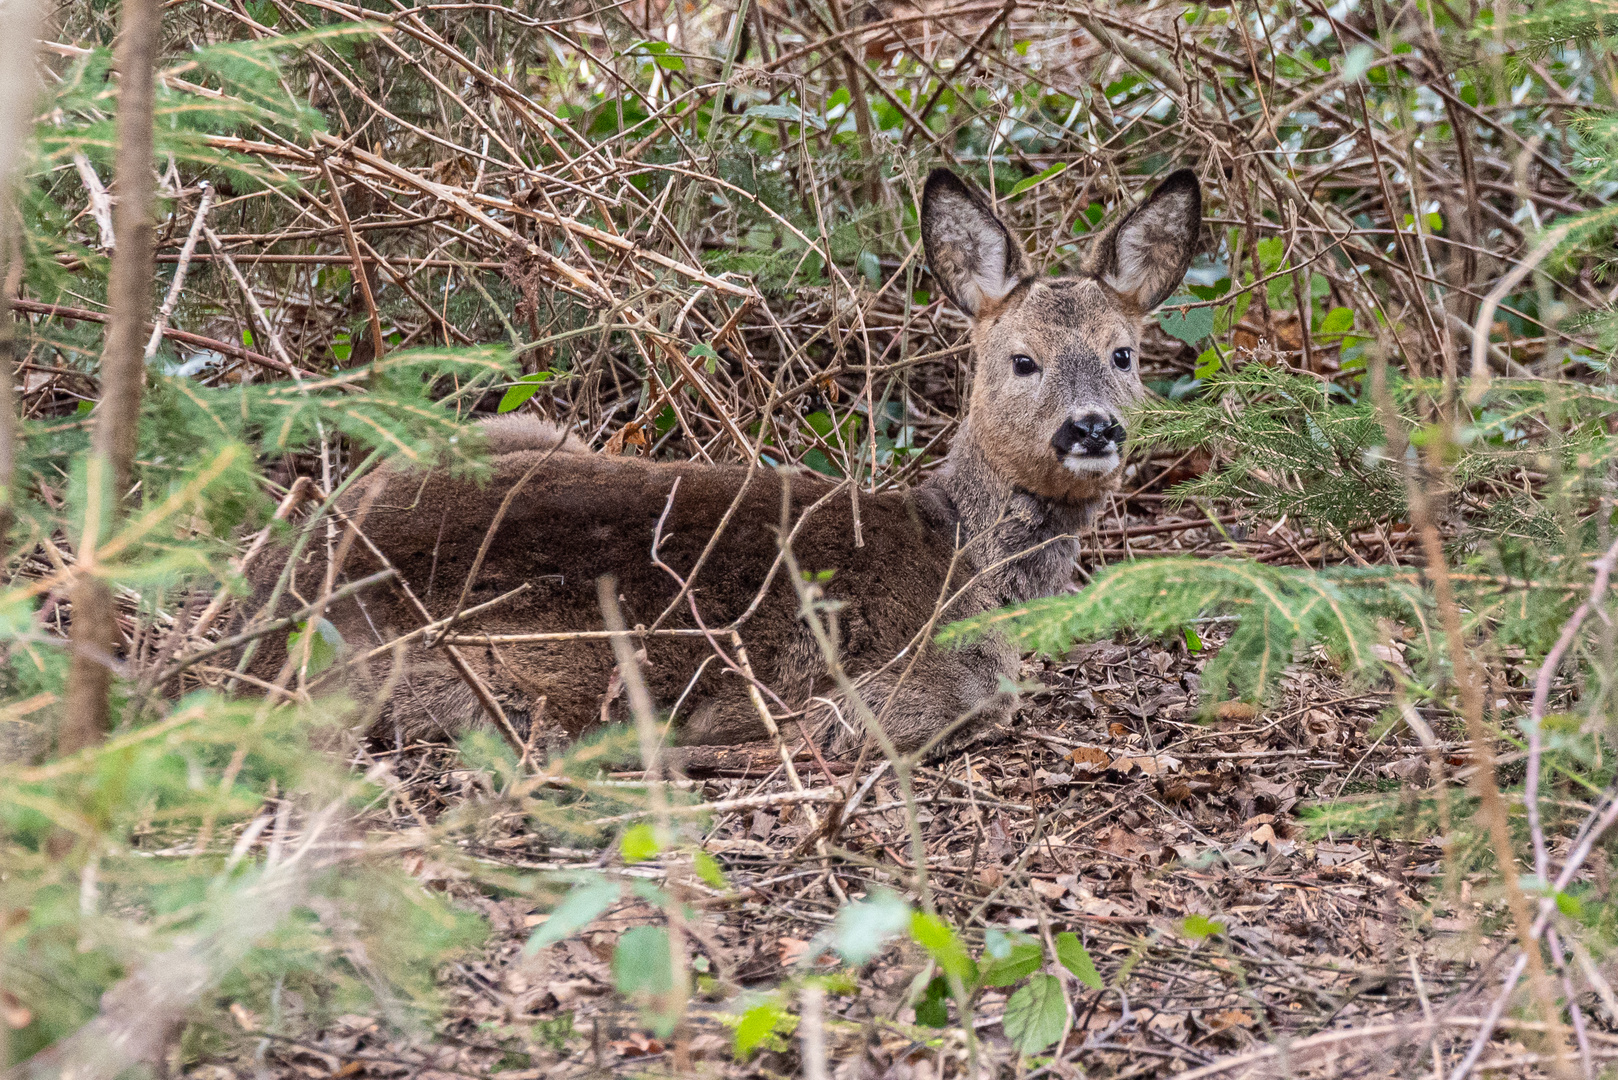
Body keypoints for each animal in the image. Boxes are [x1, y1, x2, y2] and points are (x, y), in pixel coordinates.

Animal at [242, 169, 1203, 761]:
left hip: (512, 430)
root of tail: (272, 597)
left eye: (1123, 354)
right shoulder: (911, 687)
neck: (967, 559)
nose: (1091, 429)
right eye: (1021, 360)